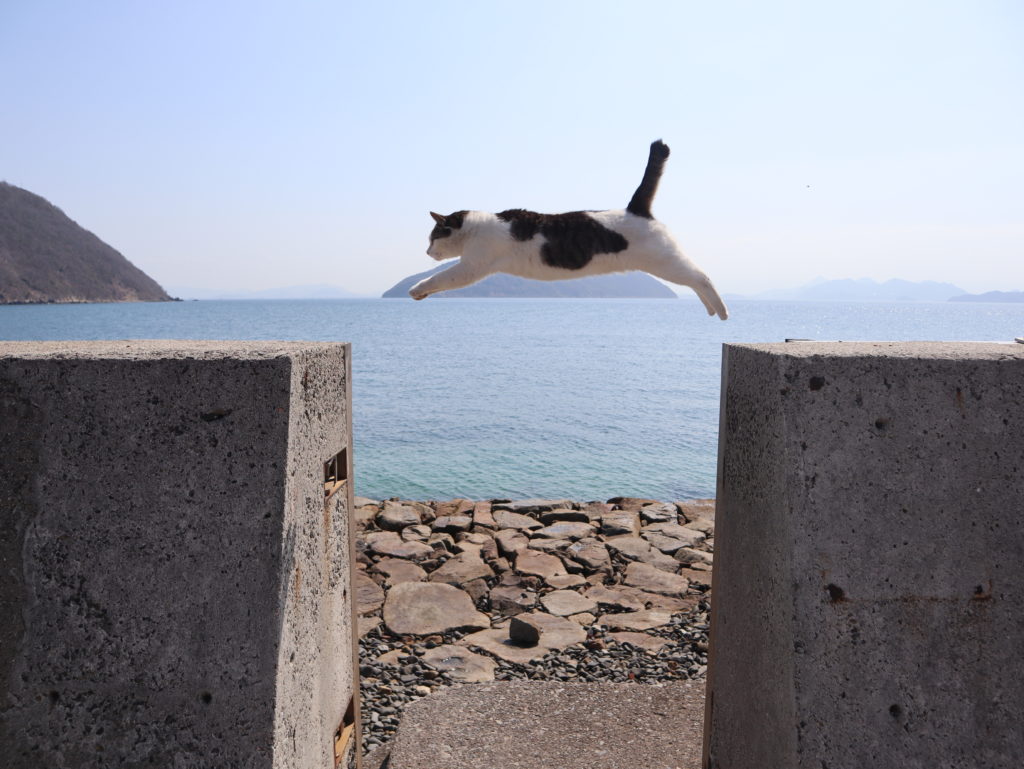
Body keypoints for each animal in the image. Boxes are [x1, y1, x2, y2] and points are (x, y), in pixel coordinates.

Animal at [413, 140, 729, 319]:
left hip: (665, 260)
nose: (427, 251)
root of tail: (635, 208)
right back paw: (711, 310)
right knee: (695, 279)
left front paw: (417, 288)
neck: (478, 226)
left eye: (432, 238)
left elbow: (442, 278)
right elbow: (442, 281)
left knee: (701, 277)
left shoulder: (473, 265)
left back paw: (722, 310)